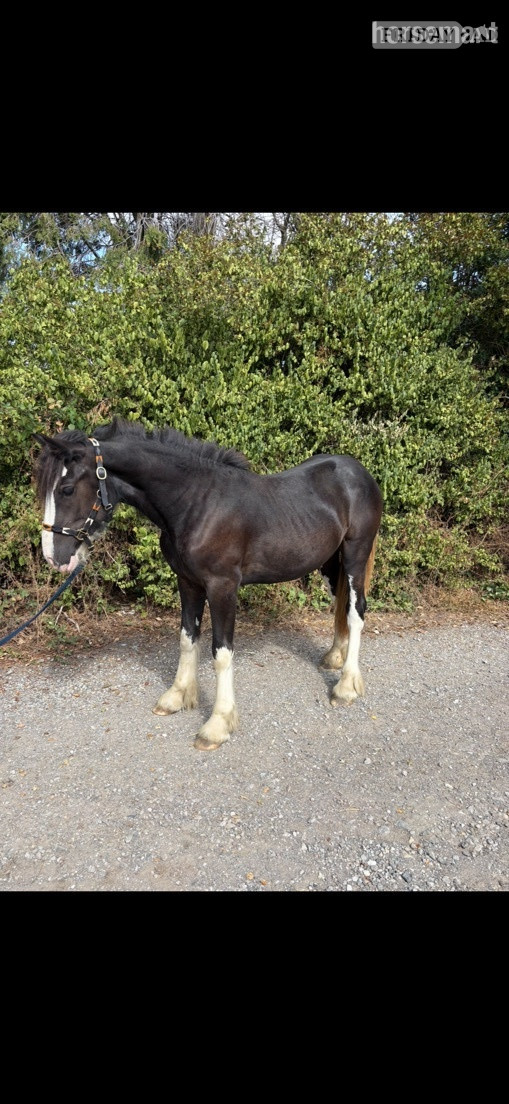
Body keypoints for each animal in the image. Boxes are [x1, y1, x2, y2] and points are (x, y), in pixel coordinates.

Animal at [33, 418, 383, 751]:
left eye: (66, 489)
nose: (53, 557)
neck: (197, 504)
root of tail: (357, 471)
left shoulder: (222, 587)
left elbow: (221, 652)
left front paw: (217, 725)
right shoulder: (188, 582)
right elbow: (187, 638)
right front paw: (176, 697)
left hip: (356, 554)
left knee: (356, 611)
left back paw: (346, 686)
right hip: (330, 562)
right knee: (340, 604)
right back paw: (334, 657)